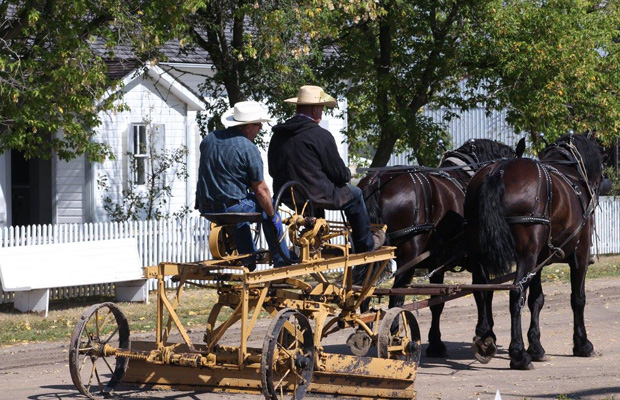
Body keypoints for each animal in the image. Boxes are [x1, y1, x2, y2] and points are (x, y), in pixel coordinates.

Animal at [356, 138, 516, 356]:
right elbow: (483, 293)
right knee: (396, 297)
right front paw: (486, 334)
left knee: (361, 292)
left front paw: (436, 343)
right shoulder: (479, 260)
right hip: (407, 256)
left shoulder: (436, 263)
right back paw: (395, 337)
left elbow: (437, 303)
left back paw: (363, 331)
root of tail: (377, 180)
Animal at [464, 133, 604, 370]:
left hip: (481, 252)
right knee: (515, 293)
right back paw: (519, 354)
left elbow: (536, 300)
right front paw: (582, 344)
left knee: (482, 289)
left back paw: (485, 338)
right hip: (526, 254)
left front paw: (536, 347)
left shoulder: (540, 259)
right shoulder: (581, 253)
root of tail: (497, 171)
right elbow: (578, 298)